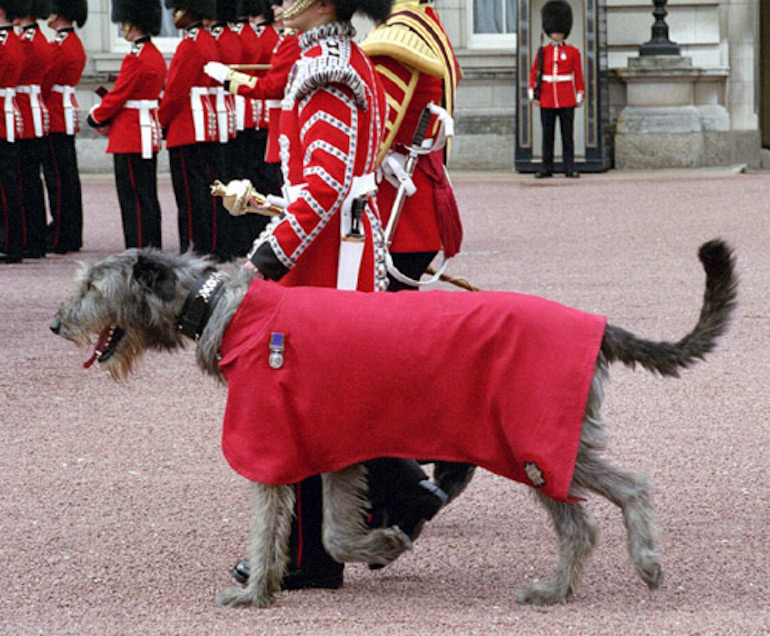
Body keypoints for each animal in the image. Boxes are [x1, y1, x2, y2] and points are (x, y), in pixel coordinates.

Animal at [51, 241, 736, 608]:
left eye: (92, 286)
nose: (56, 324)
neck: (223, 305)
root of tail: (594, 325)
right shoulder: (334, 446)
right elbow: (330, 534)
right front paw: (376, 546)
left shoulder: (271, 439)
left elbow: (274, 524)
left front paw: (255, 593)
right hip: (540, 447)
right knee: (593, 514)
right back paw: (574, 583)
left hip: (537, 440)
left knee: (618, 497)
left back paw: (624, 568)